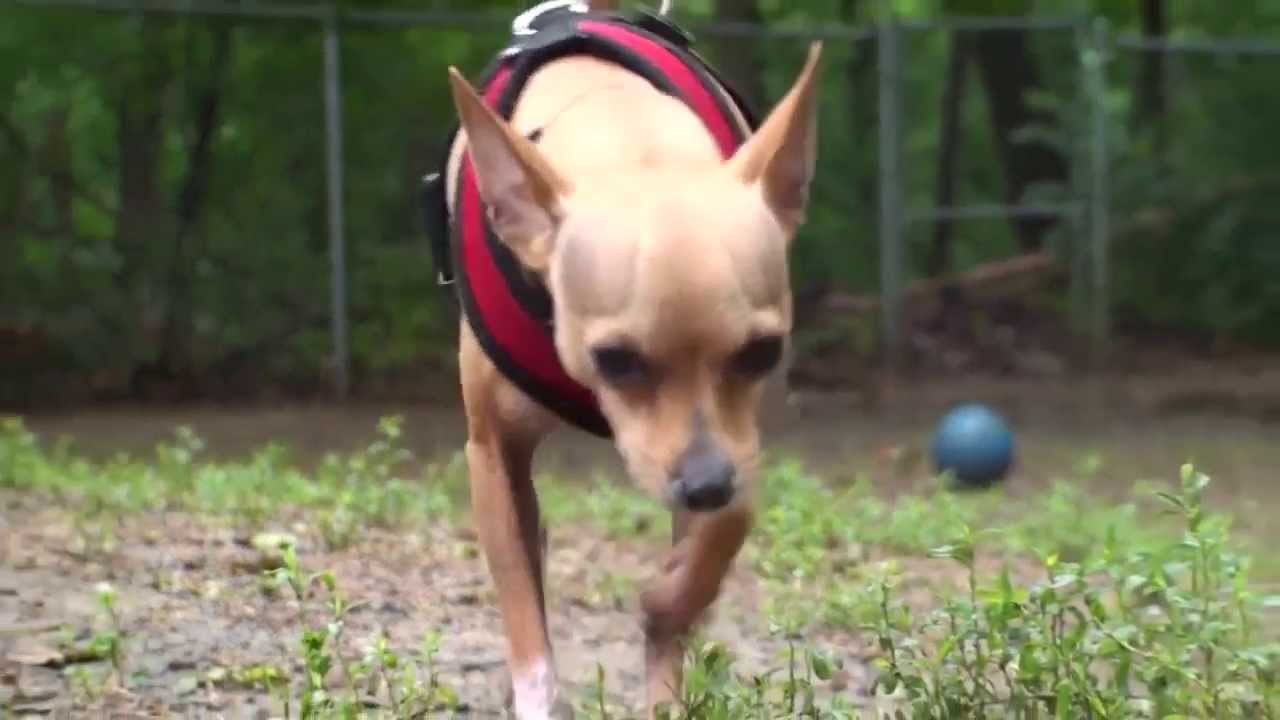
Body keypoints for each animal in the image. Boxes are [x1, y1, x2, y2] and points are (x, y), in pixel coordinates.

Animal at [435, 2, 824, 712]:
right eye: (614, 360)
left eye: (763, 352)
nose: (704, 483)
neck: (629, 138)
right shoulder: (493, 454)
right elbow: (527, 626)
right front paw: (537, 697)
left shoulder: (739, 444)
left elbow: (716, 542)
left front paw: (667, 602)